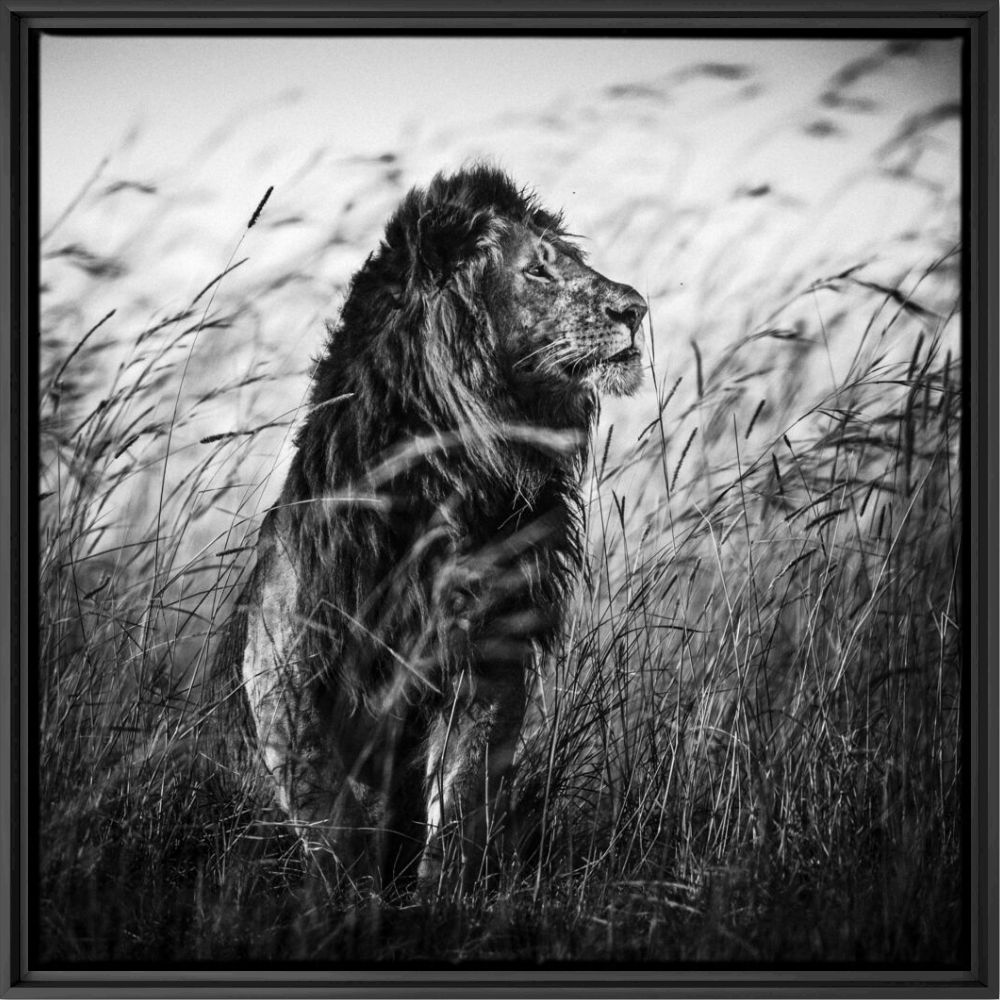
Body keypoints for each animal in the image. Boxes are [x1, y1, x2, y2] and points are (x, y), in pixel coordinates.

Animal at [214, 165, 646, 893]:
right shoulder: (293, 660)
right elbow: (329, 806)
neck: (457, 475)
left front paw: (442, 893)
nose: (637, 308)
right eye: (538, 269)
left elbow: (463, 793)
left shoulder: (490, 653)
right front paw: (347, 897)